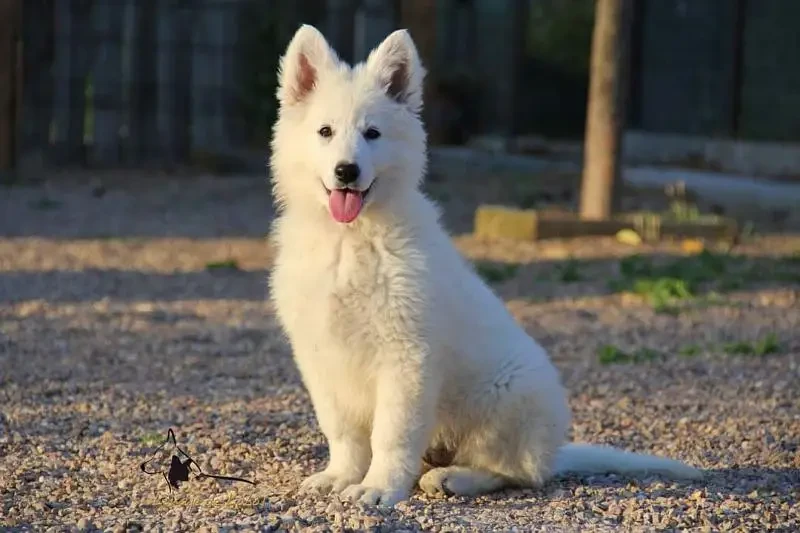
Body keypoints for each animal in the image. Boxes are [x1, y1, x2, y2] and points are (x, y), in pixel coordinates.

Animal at [268, 26, 700, 508]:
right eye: (324, 131)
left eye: (373, 133)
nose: (347, 171)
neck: (350, 239)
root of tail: (554, 451)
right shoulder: (320, 356)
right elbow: (342, 430)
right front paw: (340, 475)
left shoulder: (405, 356)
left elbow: (391, 435)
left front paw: (378, 487)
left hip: (506, 399)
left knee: (517, 473)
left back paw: (454, 478)